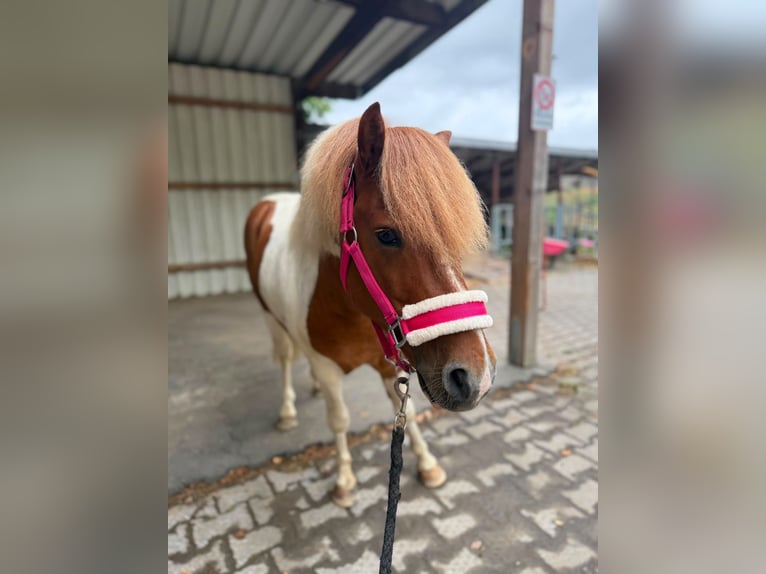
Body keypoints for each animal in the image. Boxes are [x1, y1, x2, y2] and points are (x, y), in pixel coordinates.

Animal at [245, 102, 496, 507]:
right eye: (386, 234)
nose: (476, 377)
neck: (348, 309)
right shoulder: (329, 367)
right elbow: (340, 420)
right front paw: (345, 481)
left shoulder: (388, 361)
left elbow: (403, 412)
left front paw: (427, 464)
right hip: (270, 317)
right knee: (284, 359)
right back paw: (287, 411)